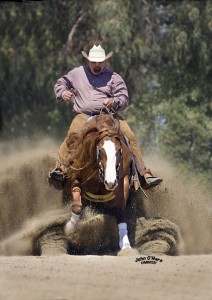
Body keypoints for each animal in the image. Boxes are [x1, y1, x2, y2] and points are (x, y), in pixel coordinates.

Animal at [64, 113, 132, 250]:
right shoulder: (75, 176)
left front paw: (125, 244)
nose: (110, 182)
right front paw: (71, 229)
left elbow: (120, 209)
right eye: (100, 151)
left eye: (119, 150)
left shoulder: (123, 180)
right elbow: (77, 206)